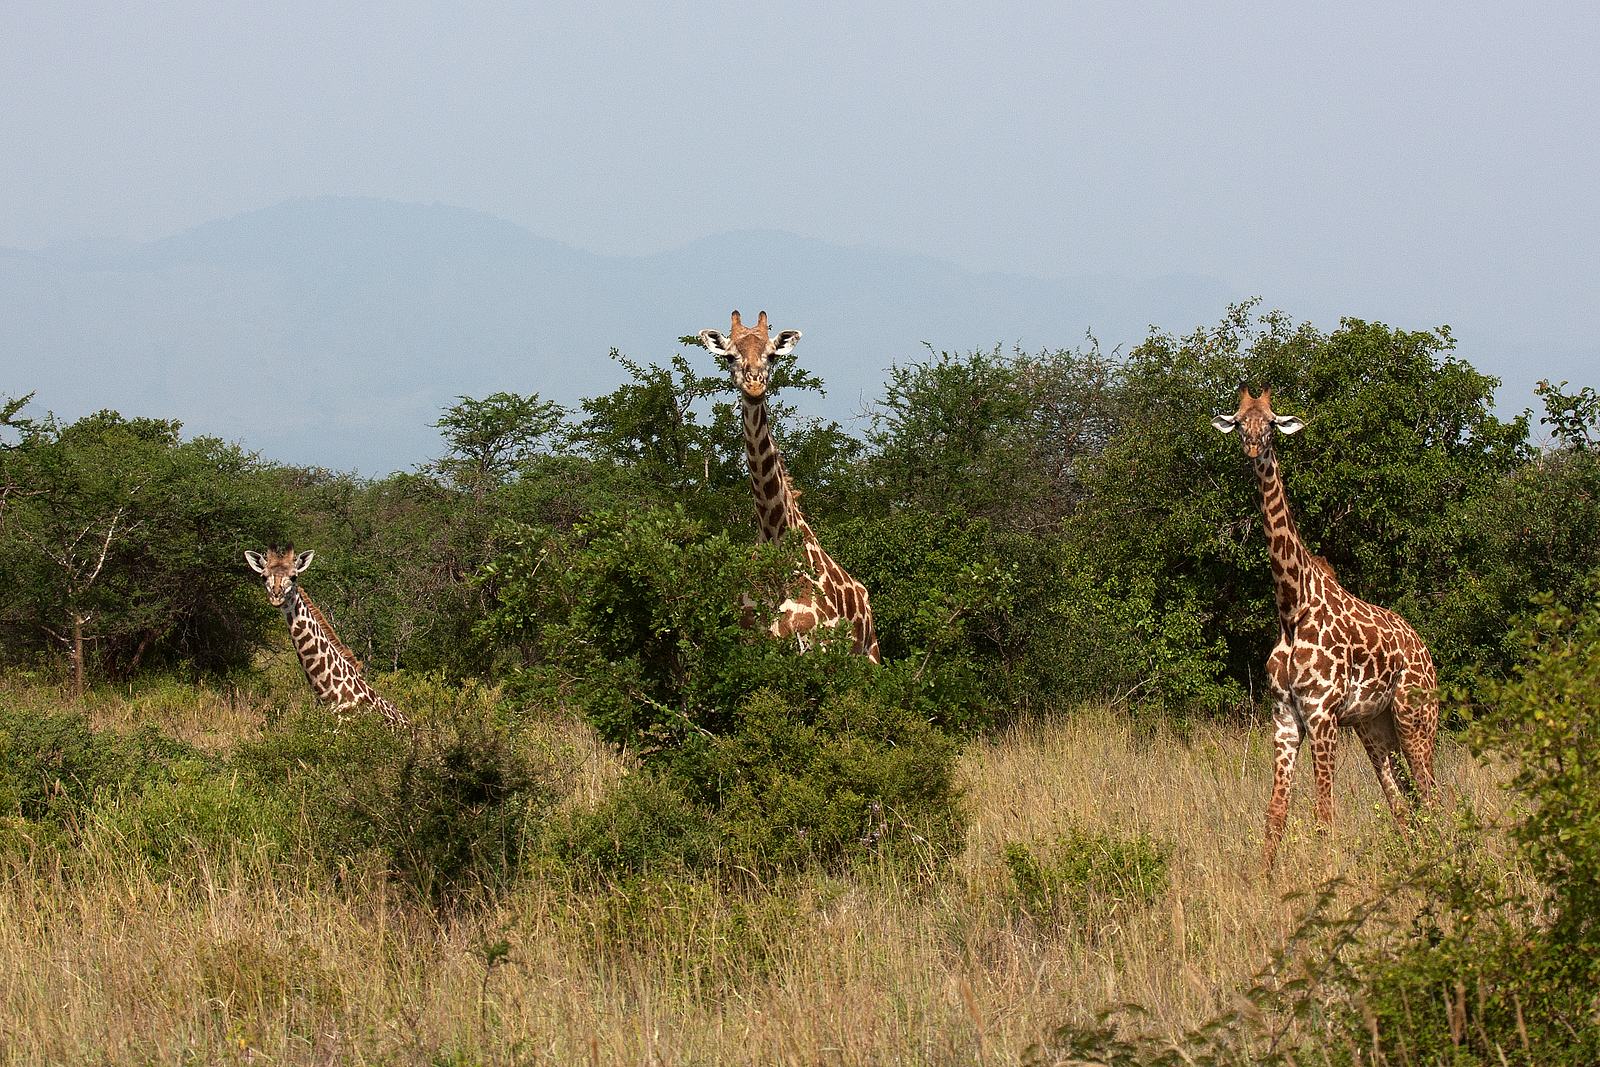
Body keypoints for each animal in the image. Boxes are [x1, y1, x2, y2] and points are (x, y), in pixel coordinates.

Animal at [699, 311, 882, 663]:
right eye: (729, 356)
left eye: (772, 355)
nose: (755, 386)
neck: (776, 540)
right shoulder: (749, 648)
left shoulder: (816, 648)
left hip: (870, 657)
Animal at [1213, 386, 1438, 870]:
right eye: (1238, 422)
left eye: (1271, 423)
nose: (1253, 450)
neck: (1292, 608)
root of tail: (1426, 651)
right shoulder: (1284, 717)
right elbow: (1276, 813)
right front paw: (1263, 879)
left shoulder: (1321, 713)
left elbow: (1323, 814)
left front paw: (1327, 879)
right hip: (1375, 725)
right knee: (1402, 802)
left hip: (1415, 717)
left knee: (1432, 796)